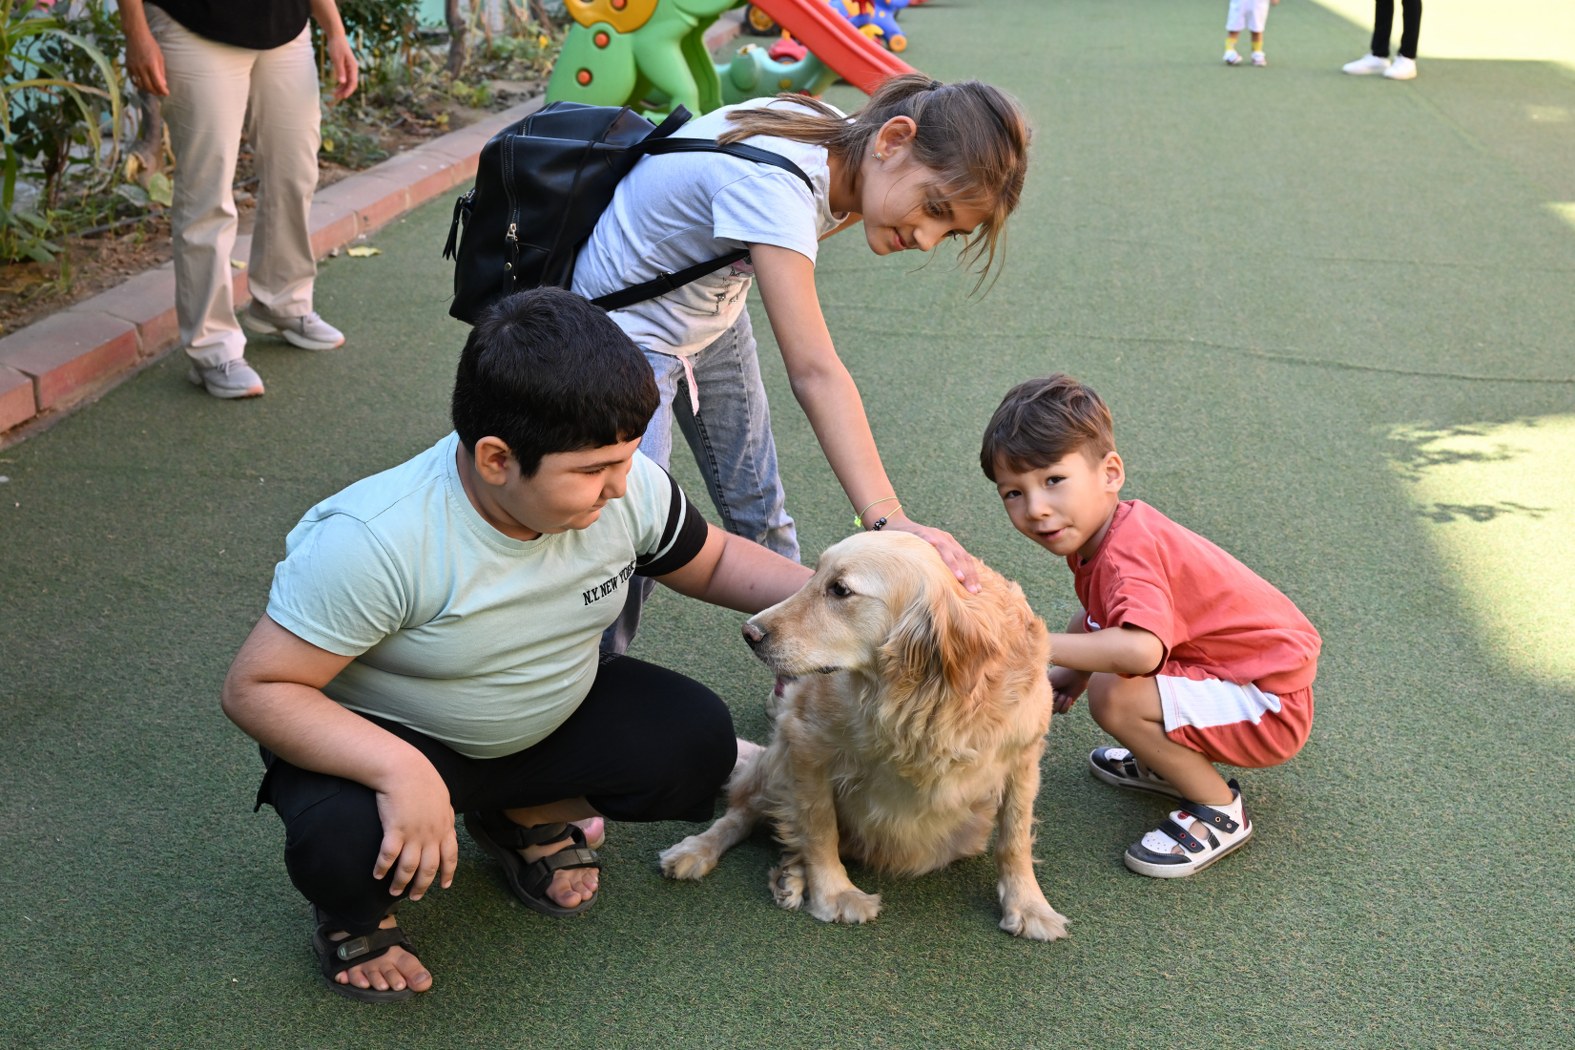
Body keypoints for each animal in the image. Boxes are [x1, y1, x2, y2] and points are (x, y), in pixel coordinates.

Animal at [652, 535, 1071, 944]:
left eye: (840, 590)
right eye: (815, 574)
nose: (749, 633)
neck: (921, 699)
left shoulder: (1024, 758)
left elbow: (1015, 838)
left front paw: (1029, 904)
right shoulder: (804, 739)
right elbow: (820, 826)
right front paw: (835, 893)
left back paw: (791, 873)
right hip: (775, 759)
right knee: (744, 812)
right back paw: (700, 850)